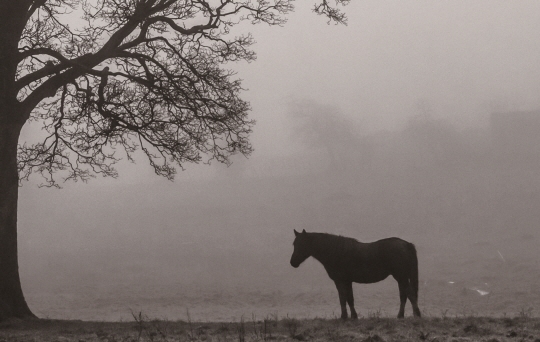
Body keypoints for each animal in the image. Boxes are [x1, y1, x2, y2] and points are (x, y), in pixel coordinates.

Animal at [292, 228, 422, 320]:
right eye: (294, 244)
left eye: (301, 244)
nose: (292, 262)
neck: (336, 252)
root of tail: (406, 244)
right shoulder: (347, 281)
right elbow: (349, 298)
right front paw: (353, 316)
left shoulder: (340, 281)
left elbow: (343, 298)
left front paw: (344, 317)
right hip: (401, 278)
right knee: (404, 295)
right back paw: (401, 316)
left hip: (401, 276)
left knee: (409, 293)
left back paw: (416, 315)